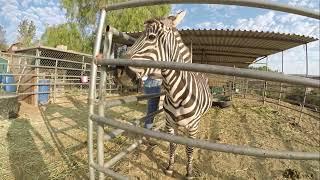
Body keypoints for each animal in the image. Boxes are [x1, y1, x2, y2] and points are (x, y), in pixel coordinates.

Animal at [125, 11, 212, 179]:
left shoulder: (192, 126)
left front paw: (189, 172)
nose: (122, 72)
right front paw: (170, 167)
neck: (176, 95)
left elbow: (189, 148)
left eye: (151, 37)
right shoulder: (169, 123)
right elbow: (172, 144)